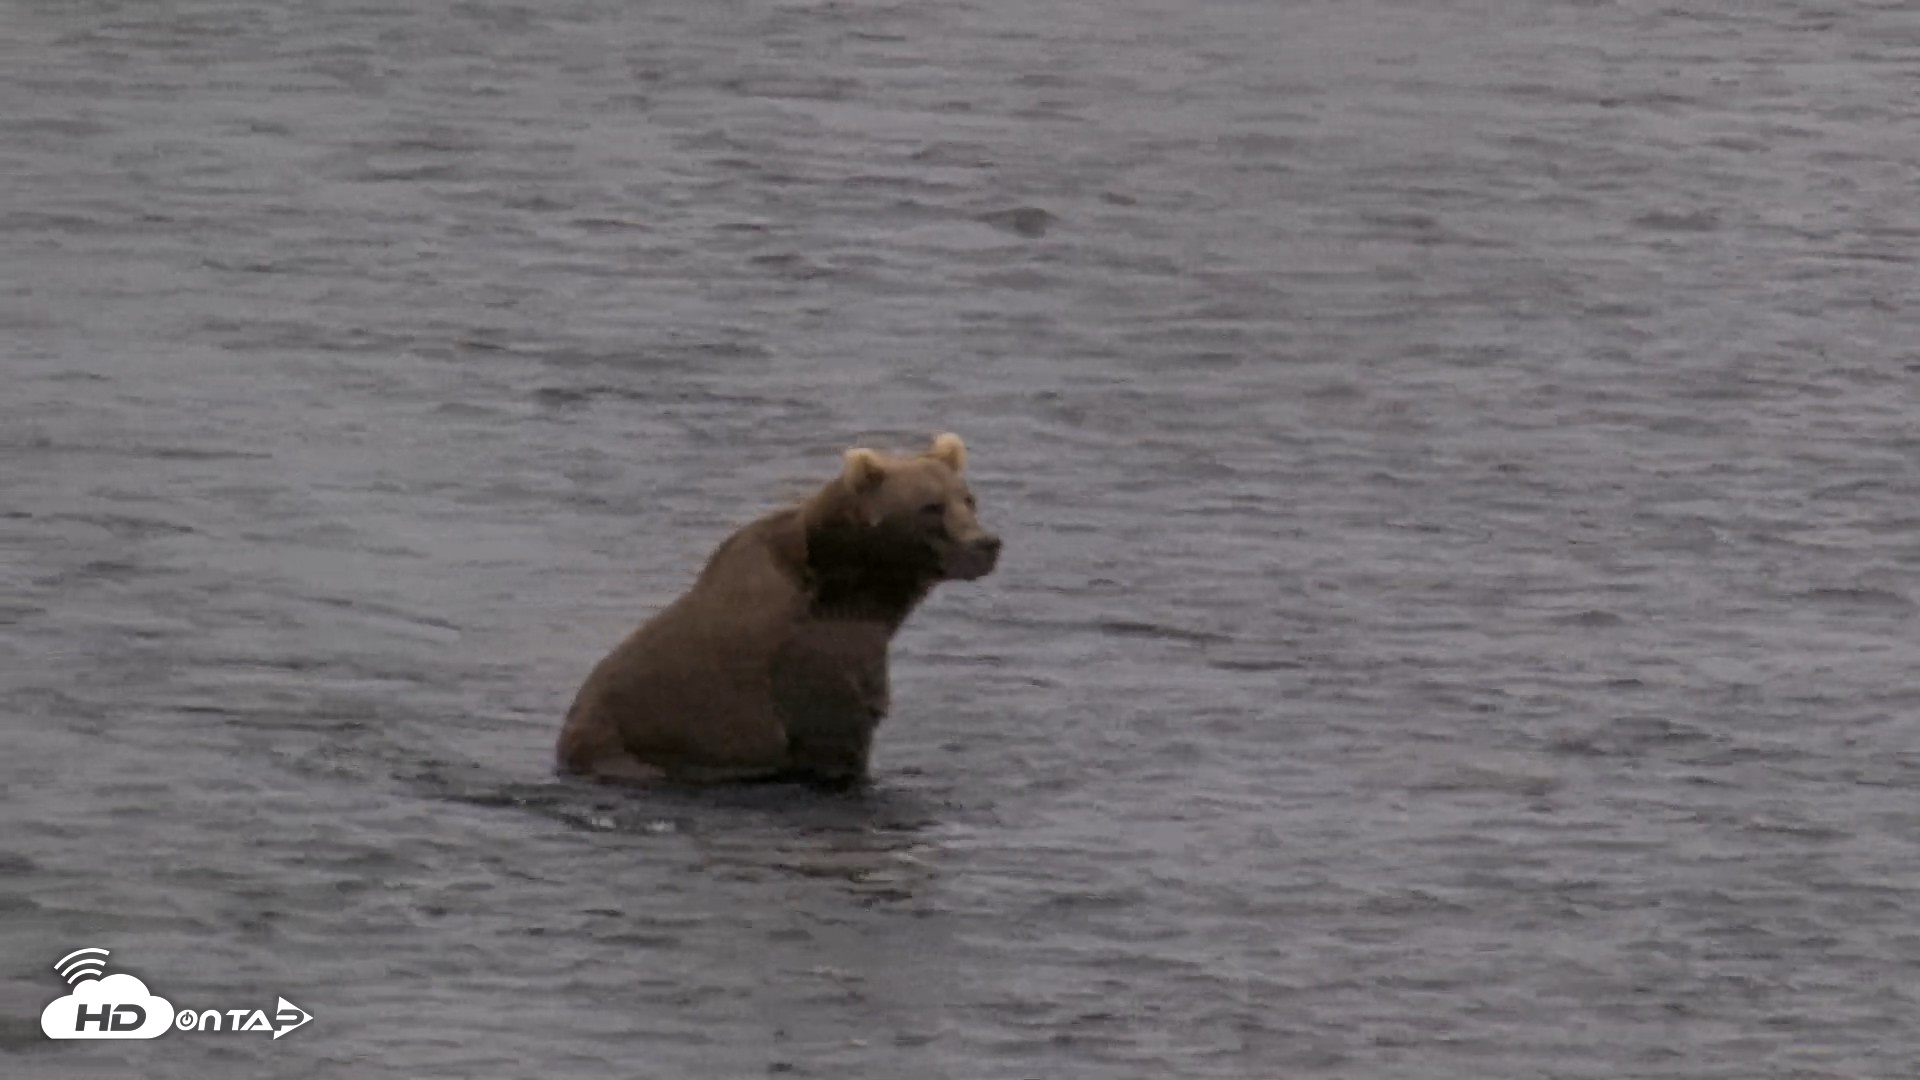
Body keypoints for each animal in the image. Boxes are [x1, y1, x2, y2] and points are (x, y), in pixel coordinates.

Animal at [556, 432, 1001, 788]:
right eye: (931, 506)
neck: (857, 583)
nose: (986, 544)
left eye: (968, 499)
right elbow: (837, 732)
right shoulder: (813, 655)